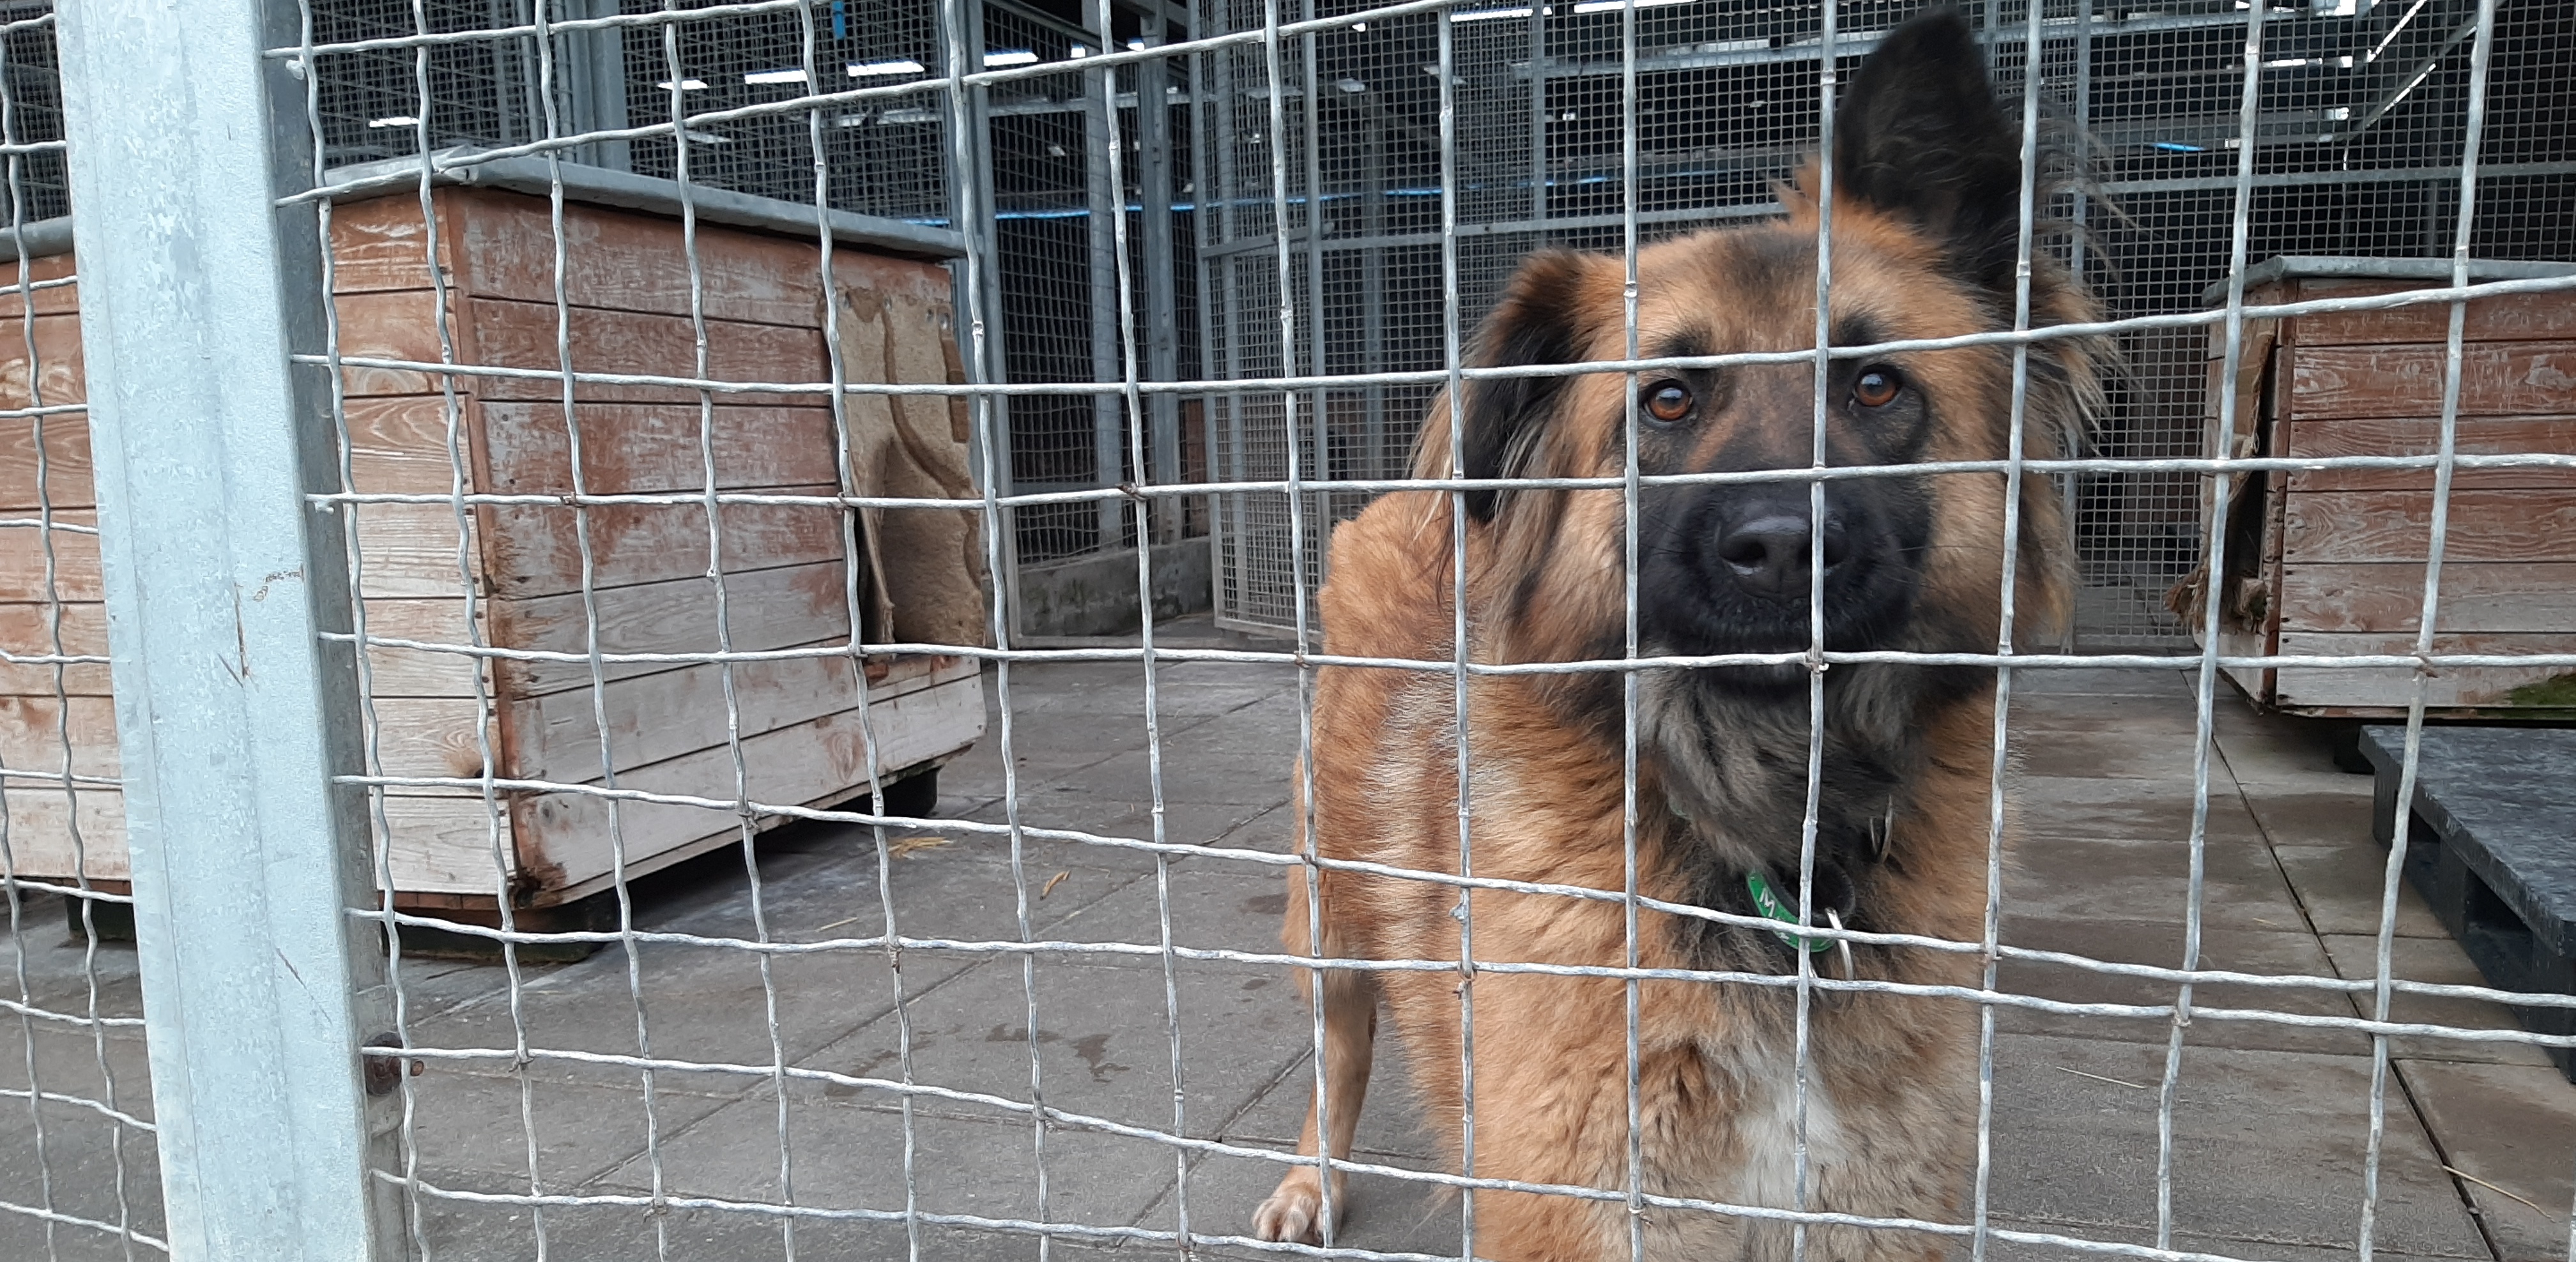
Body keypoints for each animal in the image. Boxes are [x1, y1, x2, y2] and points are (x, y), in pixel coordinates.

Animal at [1248, 10, 2110, 1260]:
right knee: (1340, 1045)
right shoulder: (1584, 1203)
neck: (1763, 830)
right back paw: (1312, 1180)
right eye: (1666, 402)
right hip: (1325, 912)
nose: (1786, 546)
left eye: (1873, 387)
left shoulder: (1866, 1202)